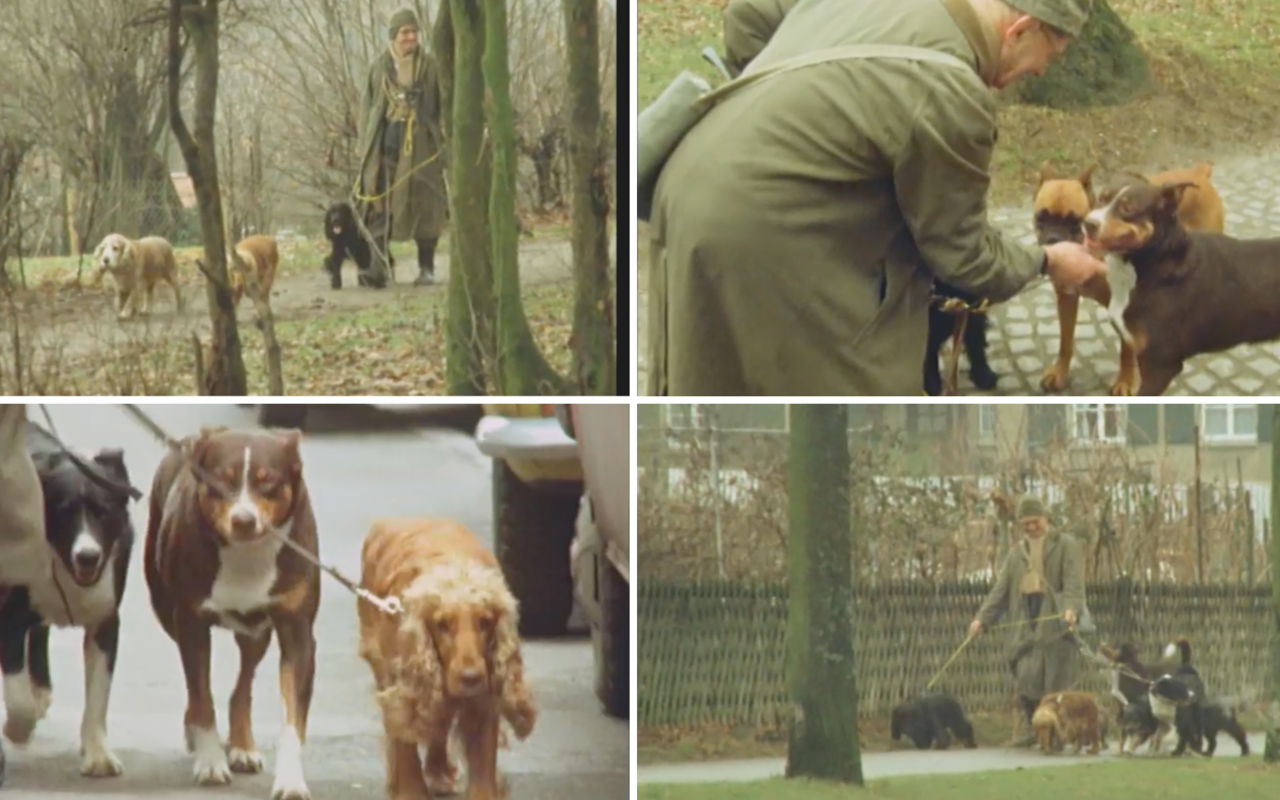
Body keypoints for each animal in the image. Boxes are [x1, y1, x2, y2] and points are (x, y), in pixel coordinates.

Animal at [0, 424, 136, 773]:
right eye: (64, 512)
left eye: (103, 512)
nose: (87, 556)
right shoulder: (9, 615)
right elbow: (18, 699)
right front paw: (16, 730)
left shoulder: (106, 619)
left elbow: (99, 692)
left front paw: (98, 755)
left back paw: (41, 689)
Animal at [140, 427, 317, 793]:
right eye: (221, 481)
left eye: (268, 481)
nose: (244, 519)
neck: (246, 554)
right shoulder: (190, 622)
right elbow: (201, 695)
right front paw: (210, 761)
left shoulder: (298, 630)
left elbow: (293, 715)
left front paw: (290, 779)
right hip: (166, 610)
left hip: (257, 631)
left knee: (243, 683)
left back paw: (242, 747)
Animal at [355, 517, 535, 798]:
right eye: (442, 625)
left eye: (485, 622)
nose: (471, 678)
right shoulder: (401, 684)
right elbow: (404, 743)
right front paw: (408, 790)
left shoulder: (483, 701)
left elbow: (483, 768)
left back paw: (439, 772)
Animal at [1029, 160, 1218, 396]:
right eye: (1040, 217)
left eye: (1075, 222)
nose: (1053, 239)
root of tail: (1198, 172)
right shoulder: (1066, 298)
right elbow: (1066, 340)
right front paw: (1059, 371)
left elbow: (1126, 352)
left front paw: (1125, 380)